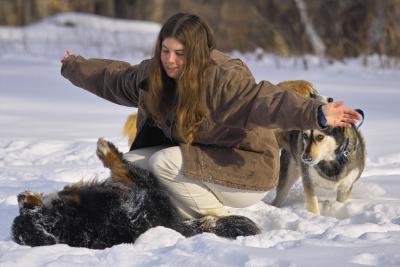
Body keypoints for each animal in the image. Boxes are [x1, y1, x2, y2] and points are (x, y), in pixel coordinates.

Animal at [272, 80, 366, 215]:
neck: (330, 160)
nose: (305, 158)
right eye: (305, 136)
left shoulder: (345, 186)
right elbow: (313, 205)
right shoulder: (309, 181)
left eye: (320, 137)